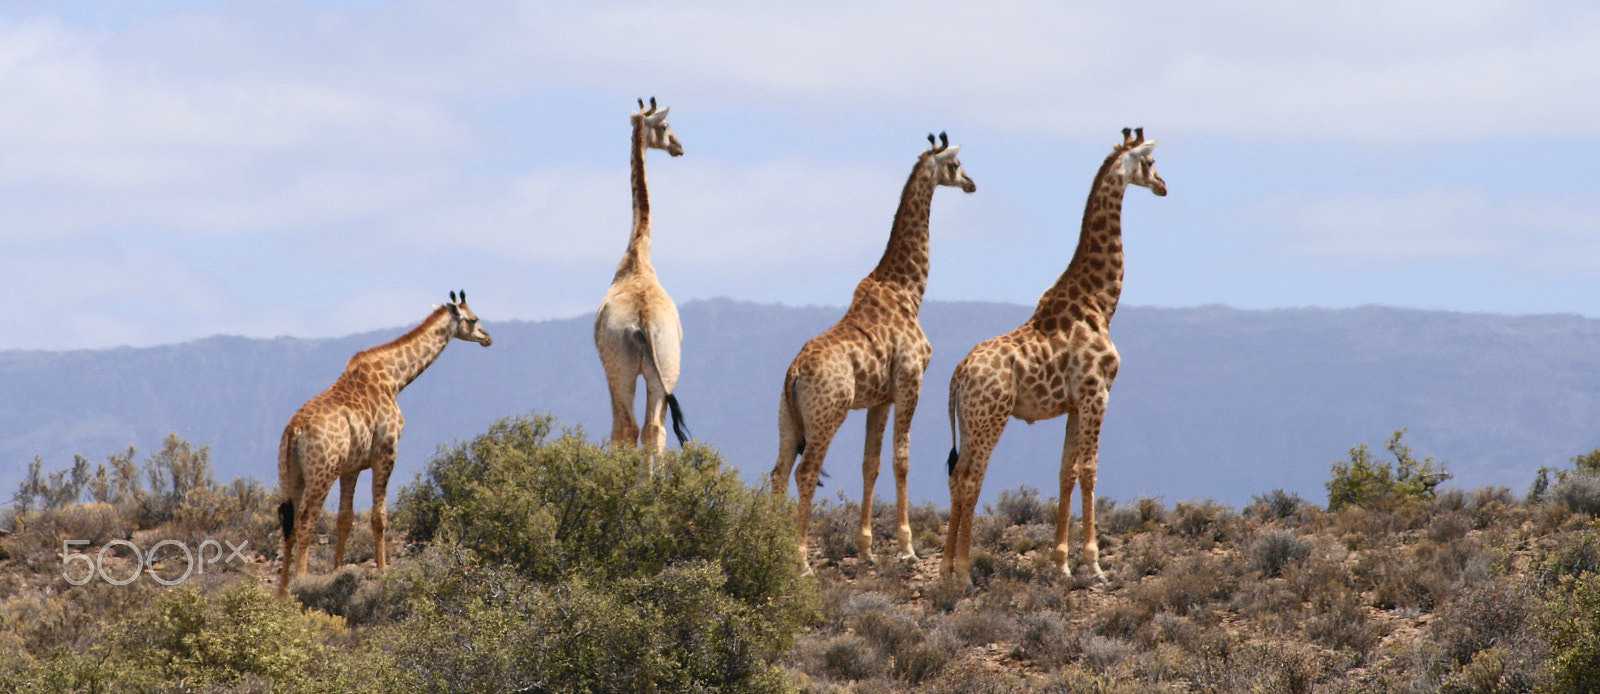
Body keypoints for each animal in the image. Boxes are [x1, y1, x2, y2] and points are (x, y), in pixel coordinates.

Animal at [275, 291, 489, 594]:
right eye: (473, 319)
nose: (487, 337)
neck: (395, 378)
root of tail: (294, 430)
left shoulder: (351, 467)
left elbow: (345, 519)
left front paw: (337, 571)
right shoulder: (386, 452)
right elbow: (379, 517)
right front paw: (383, 569)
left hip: (291, 473)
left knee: (288, 525)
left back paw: (282, 593)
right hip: (322, 472)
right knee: (306, 522)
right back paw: (300, 584)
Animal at [771, 132, 972, 572]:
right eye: (955, 165)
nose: (971, 183)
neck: (908, 290)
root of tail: (794, 372)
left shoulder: (880, 398)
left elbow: (871, 464)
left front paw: (866, 549)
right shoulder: (911, 383)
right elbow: (901, 459)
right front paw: (907, 547)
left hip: (787, 419)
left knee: (778, 473)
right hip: (827, 415)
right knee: (805, 473)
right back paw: (801, 561)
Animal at [940, 127, 1171, 582]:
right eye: (1151, 162)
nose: (1163, 186)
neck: (1099, 302)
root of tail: (959, 373)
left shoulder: (1073, 404)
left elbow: (1066, 472)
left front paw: (1062, 564)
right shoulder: (1097, 393)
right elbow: (1090, 471)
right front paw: (1094, 565)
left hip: (970, 420)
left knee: (958, 477)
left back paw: (945, 570)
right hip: (990, 416)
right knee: (971, 479)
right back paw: (963, 571)